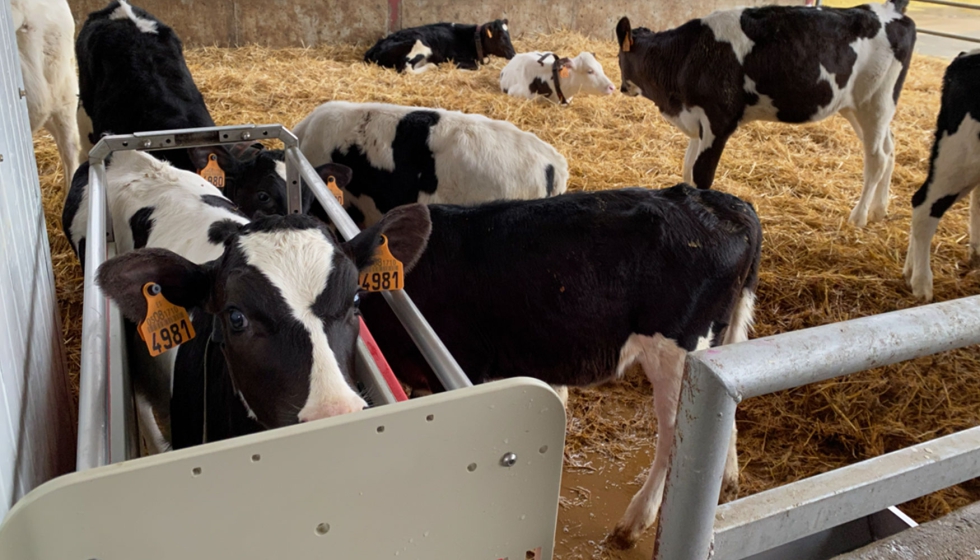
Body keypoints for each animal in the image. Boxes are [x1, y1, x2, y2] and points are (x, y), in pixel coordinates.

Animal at [357, 185, 763, 548]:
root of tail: (724, 202)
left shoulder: (461, 366)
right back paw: (727, 479)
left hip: (678, 351)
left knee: (674, 434)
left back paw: (634, 521)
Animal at [364, 20, 515, 73]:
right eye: (502, 37)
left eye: (509, 35)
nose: (514, 54)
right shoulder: (456, 57)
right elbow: (475, 67)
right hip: (421, 46)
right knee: (406, 68)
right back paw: (434, 66)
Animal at [616, 0, 916, 227]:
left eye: (619, 58)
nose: (622, 87)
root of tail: (887, 9)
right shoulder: (696, 120)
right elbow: (688, 169)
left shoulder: (719, 121)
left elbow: (701, 175)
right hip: (856, 107)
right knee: (889, 148)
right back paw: (879, 210)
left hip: (875, 102)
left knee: (876, 158)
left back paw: (859, 216)